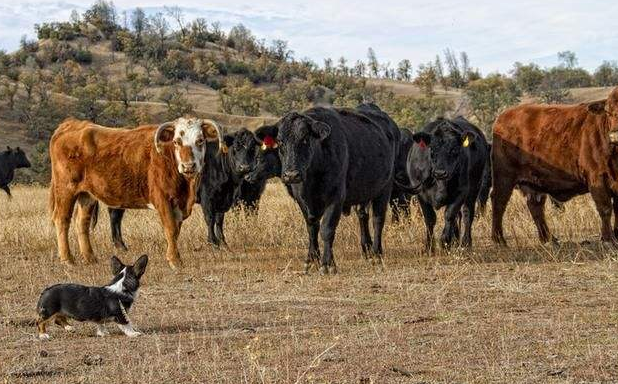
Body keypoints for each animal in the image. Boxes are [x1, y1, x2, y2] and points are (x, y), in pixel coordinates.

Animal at [48, 115, 221, 268]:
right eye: (176, 141)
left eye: (200, 141)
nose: (188, 166)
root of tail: (72, 124)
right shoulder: (162, 199)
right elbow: (171, 229)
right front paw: (175, 261)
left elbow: (176, 231)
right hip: (65, 189)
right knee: (62, 220)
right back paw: (68, 259)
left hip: (87, 195)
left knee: (82, 223)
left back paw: (90, 258)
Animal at [107, 128, 268, 249]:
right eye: (236, 147)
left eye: (252, 149)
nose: (244, 167)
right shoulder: (207, 197)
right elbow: (210, 219)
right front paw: (213, 242)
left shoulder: (223, 199)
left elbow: (219, 220)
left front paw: (223, 242)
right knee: (115, 215)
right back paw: (120, 245)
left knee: (116, 215)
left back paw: (119, 245)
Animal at [270, 103, 400, 274]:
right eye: (280, 142)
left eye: (305, 139)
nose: (291, 175)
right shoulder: (302, 201)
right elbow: (312, 228)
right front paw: (311, 260)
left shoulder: (335, 198)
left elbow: (327, 229)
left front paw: (327, 264)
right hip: (364, 192)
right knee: (363, 216)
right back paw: (367, 251)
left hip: (384, 189)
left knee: (378, 220)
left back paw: (377, 254)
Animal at [402, 116, 488, 249]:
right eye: (432, 149)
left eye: (454, 150)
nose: (440, 172)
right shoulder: (421, 194)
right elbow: (430, 218)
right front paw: (429, 247)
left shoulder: (461, 192)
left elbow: (449, 215)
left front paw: (445, 241)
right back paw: (456, 241)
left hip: (475, 188)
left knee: (467, 214)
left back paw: (465, 243)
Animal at [490, 86, 618, 244]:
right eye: (608, 111)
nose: (615, 135)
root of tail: (502, 117)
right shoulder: (597, 179)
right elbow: (605, 208)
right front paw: (608, 239)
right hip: (504, 177)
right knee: (499, 202)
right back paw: (499, 239)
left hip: (534, 183)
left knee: (536, 207)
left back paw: (548, 238)